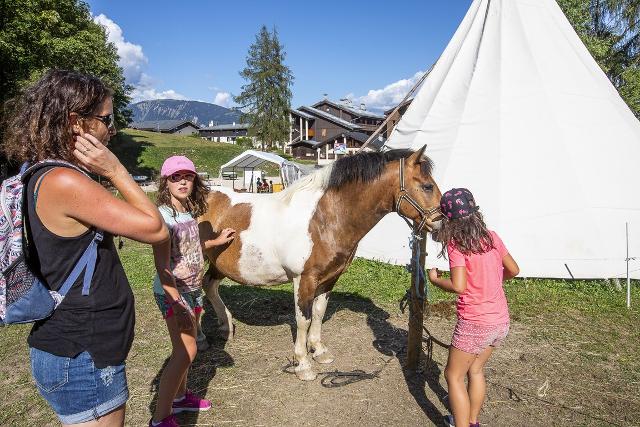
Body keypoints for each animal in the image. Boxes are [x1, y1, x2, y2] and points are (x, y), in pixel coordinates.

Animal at [199, 147, 440, 382]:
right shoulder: (304, 279)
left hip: (217, 263)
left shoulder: (330, 278)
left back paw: (226, 326)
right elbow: (303, 319)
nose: (442, 224)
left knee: (209, 285)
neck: (324, 219)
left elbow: (318, 313)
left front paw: (319, 350)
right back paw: (202, 338)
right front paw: (303, 363)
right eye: (427, 186)